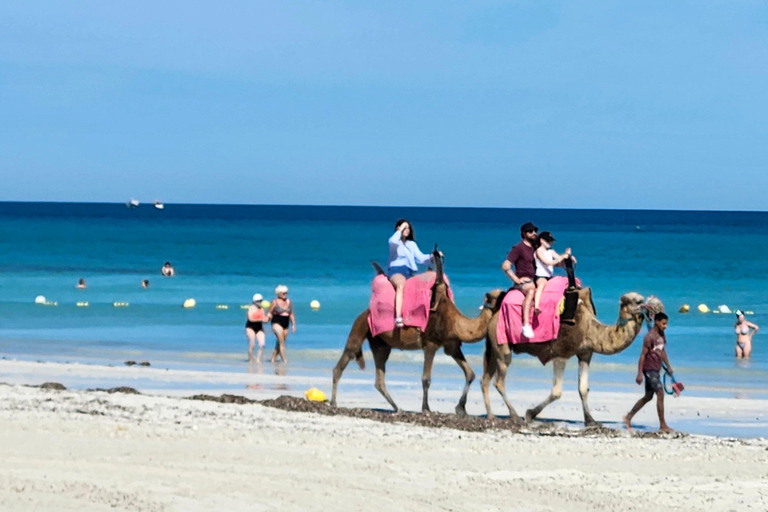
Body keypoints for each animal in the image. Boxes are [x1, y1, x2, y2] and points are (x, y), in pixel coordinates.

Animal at [331, 253, 505, 416]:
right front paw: (426, 409)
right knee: (344, 360)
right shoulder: (431, 344)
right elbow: (426, 378)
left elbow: (470, 374)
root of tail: (363, 313)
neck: (454, 321)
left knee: (379, 378)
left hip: (381, 344)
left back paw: (398, 408)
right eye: (500, 296)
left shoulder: (452, 346)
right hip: (359, 328)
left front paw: (461, 409)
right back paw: (333, 403)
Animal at [481, 288, 647, 426]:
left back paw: (491, 416)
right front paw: (529, 414)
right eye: (636, 301)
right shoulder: (561, 354)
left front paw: (591, 420)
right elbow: (557, 392)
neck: (589, 328)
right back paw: (515, 416)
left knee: (485, 379)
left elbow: (583, 388)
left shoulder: (585, 354)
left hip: (493, 348)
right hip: (501, 344)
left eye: (641, 300)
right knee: (499, 380)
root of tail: (493, 317)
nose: (647, 307)